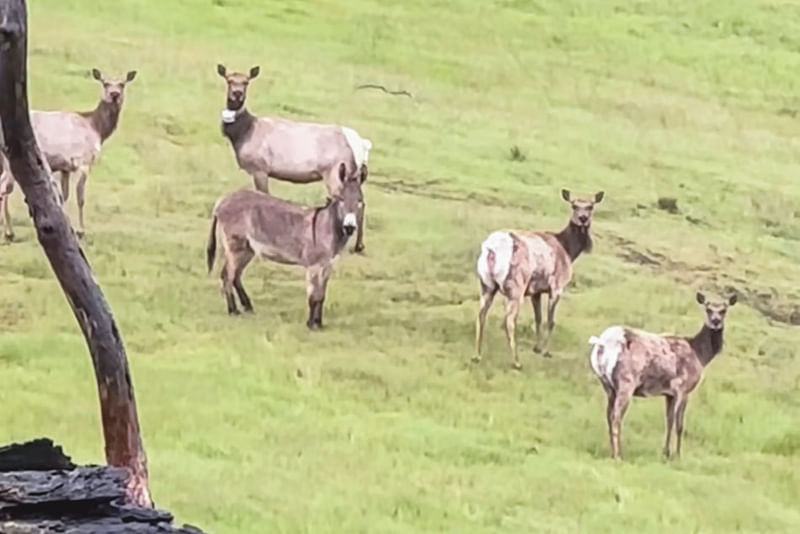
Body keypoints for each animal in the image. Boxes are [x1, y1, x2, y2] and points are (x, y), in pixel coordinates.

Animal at [208, 163, 368, 330]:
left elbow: (321, 296)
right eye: (341, 199)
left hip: (247, 249)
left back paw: (247, 307)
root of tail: (222, 201)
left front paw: (318, 323)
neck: (327, 227)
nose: (349, 227)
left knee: (235, 276)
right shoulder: (314, 266)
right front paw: (311, 324)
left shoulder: (327, 266)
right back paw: (233, 311)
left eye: (360, 201)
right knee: (227, 275)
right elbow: (313, 296)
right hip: (236, 247)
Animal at [216, 61, 372, 254]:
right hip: (353, 173)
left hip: (336, 172)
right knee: (361, 200)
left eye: (246, 82)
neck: (244, 133)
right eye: (229, 80)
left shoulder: (260, 167)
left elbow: (264, 194)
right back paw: (359, 244)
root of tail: (362, 145)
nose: (237, 94)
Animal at [472, 191, 604, 370]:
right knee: (509, 321)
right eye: (574, 205)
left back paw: (477, 355)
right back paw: (516, 362)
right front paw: (546, 352)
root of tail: (491, 250)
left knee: (481, 315)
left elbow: (538, 318)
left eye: (590, 206)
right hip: (516, 287)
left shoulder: (536, 290)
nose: (583, 218)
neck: (569, 250)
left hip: (486, 284)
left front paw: (537, 347)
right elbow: (550, 320)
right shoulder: (556, 286)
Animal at [588, 294, 736, 460]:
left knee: (608, 415)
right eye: (708, 309)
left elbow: (669, 422)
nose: (716, 321)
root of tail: (602, 343)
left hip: (607, 385)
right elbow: (679, 424)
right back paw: (618, 456)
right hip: (626, 381)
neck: (700, 355)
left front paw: (666, 453)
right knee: (616, 417)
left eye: (724, 310)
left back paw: (612, 451)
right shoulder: (683, 388)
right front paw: (677, 455)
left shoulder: (669, 393)